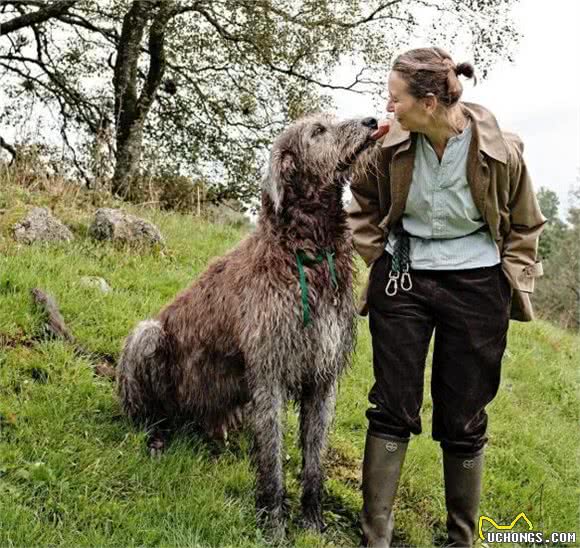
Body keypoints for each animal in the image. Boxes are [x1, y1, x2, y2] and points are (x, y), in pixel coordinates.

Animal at [118, 112, 380, 536]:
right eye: (317, 131)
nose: (372, 121)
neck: (306, 252)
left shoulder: (322, 376)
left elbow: (314, 458)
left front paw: (312, 521)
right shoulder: (268, 372)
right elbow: (271, 459)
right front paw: (273, 523)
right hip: (148, 337)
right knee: (150, 413)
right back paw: (156, 436)